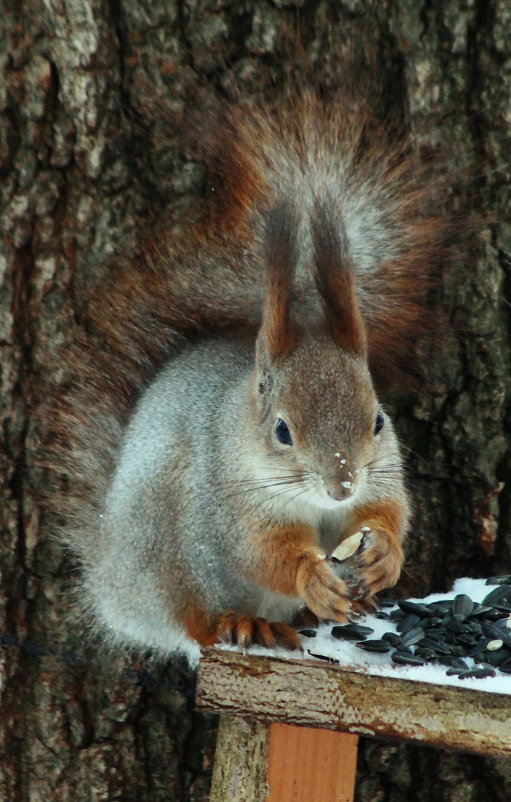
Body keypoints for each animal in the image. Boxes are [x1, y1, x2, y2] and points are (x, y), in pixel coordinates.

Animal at [48, 89, 454, 664]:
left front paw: (383, 555)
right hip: (170, 551)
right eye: (282, 430)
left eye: (378, 420)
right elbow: (262, 552)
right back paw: (244, 622)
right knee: (193, 621)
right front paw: (311, 576)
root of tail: (114, 590)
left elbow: (389, 512)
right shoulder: (235, 503)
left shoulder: (381, 474)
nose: (342, 485)